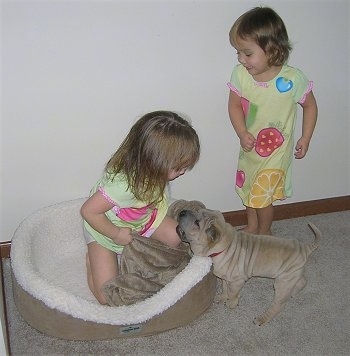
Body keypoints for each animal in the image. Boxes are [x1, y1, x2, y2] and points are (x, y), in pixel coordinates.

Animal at [176, 206, 322, 326]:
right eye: (195, 210)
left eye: (197, 223)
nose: (182, 212)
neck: (223, 247)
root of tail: (303, 248)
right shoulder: (225, 278)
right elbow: (225, 288)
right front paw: (222, 297)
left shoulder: (237, 281)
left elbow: (233, 293)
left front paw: (231, 303)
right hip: (292, 275)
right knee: (302, 281)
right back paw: (295, 291)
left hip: (282, 283)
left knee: (278, 305)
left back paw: (262, 318)